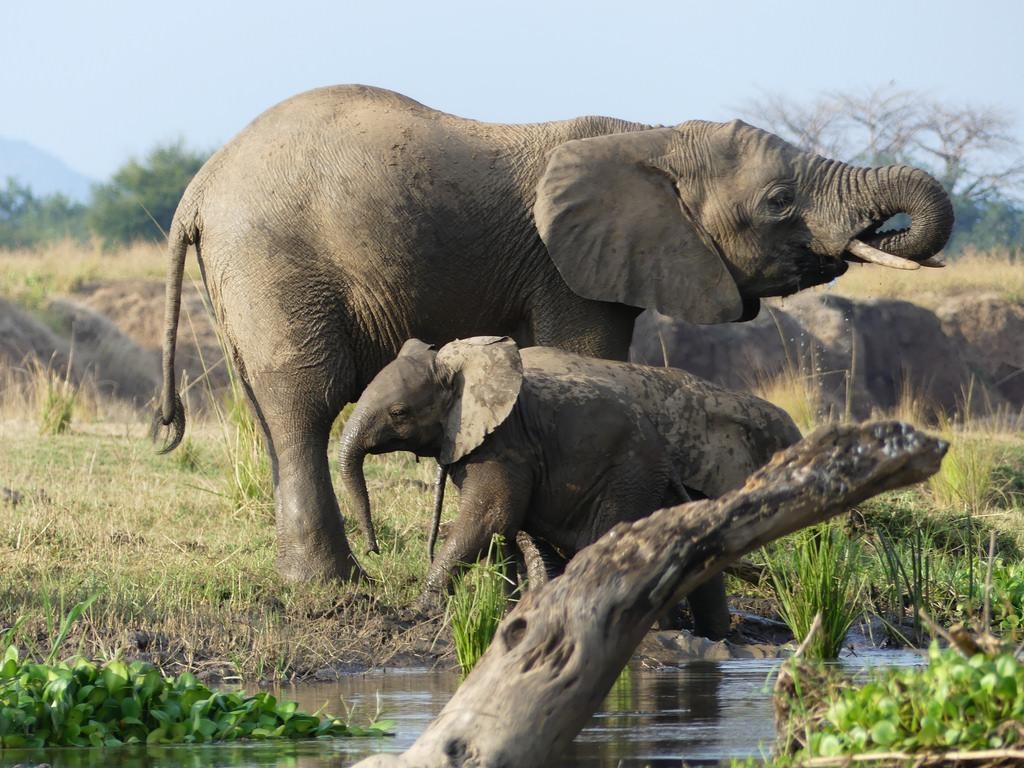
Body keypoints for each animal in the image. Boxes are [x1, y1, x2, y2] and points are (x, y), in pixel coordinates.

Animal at [151, 82, 950, 581]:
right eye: (781, 201)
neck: (654, 137)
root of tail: (198, 189)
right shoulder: (566, 268)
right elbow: (585, 356)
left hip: (246, 279)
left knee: (269, 409)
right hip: (275, 264)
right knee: (304, 404)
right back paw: (336, 585)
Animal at [337, 339, 798, 638]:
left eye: (399, 413)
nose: (373, 548)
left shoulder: (506, 445)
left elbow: (488, 520)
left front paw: (422, 610)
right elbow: (504, 531)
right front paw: (510, 617)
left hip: (629, 475)